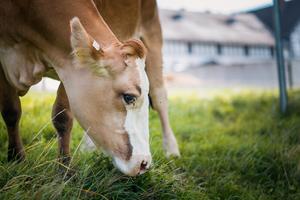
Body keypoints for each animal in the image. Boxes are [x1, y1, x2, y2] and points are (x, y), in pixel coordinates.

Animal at [0, 0, 179, 176]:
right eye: (129, 97)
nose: (144, 163)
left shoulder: (68, 67)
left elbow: (62, 117)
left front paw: (64, 167)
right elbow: (11, 112)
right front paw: (16, 158)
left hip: (152, 32)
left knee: (160, 98)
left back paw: (171, 150)